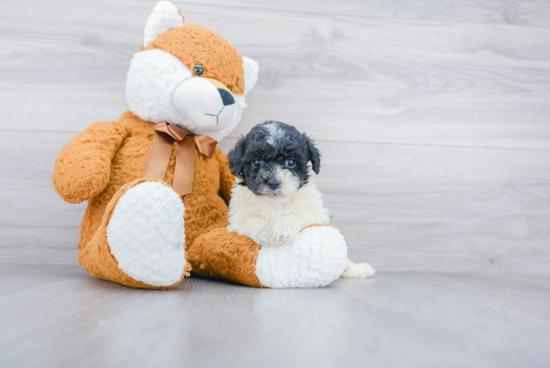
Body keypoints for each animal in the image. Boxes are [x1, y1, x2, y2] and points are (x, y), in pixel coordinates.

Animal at [227, 121, 376, 278]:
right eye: (257, 162)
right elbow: (250, 220)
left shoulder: (314, 213)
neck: (275, 204)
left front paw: (281, 228)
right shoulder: (237, 217)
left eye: (290, 162)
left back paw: (359, 269)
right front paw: (264, 232)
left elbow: (298, 216)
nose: (273, 182)